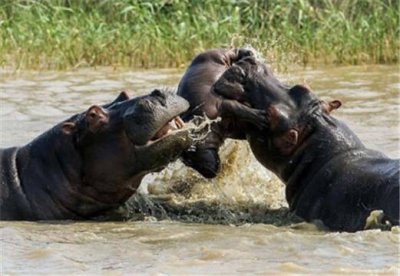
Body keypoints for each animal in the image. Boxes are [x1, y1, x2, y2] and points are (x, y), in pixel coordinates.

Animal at [178, 48, 268, 178]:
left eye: (192, 151)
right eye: (187, 163)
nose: (209, 174)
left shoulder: (220, 105)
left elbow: (238, 108)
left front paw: (261, 118)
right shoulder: (230, 127)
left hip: (221, 56)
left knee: (233, 52)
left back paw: (248, 53)